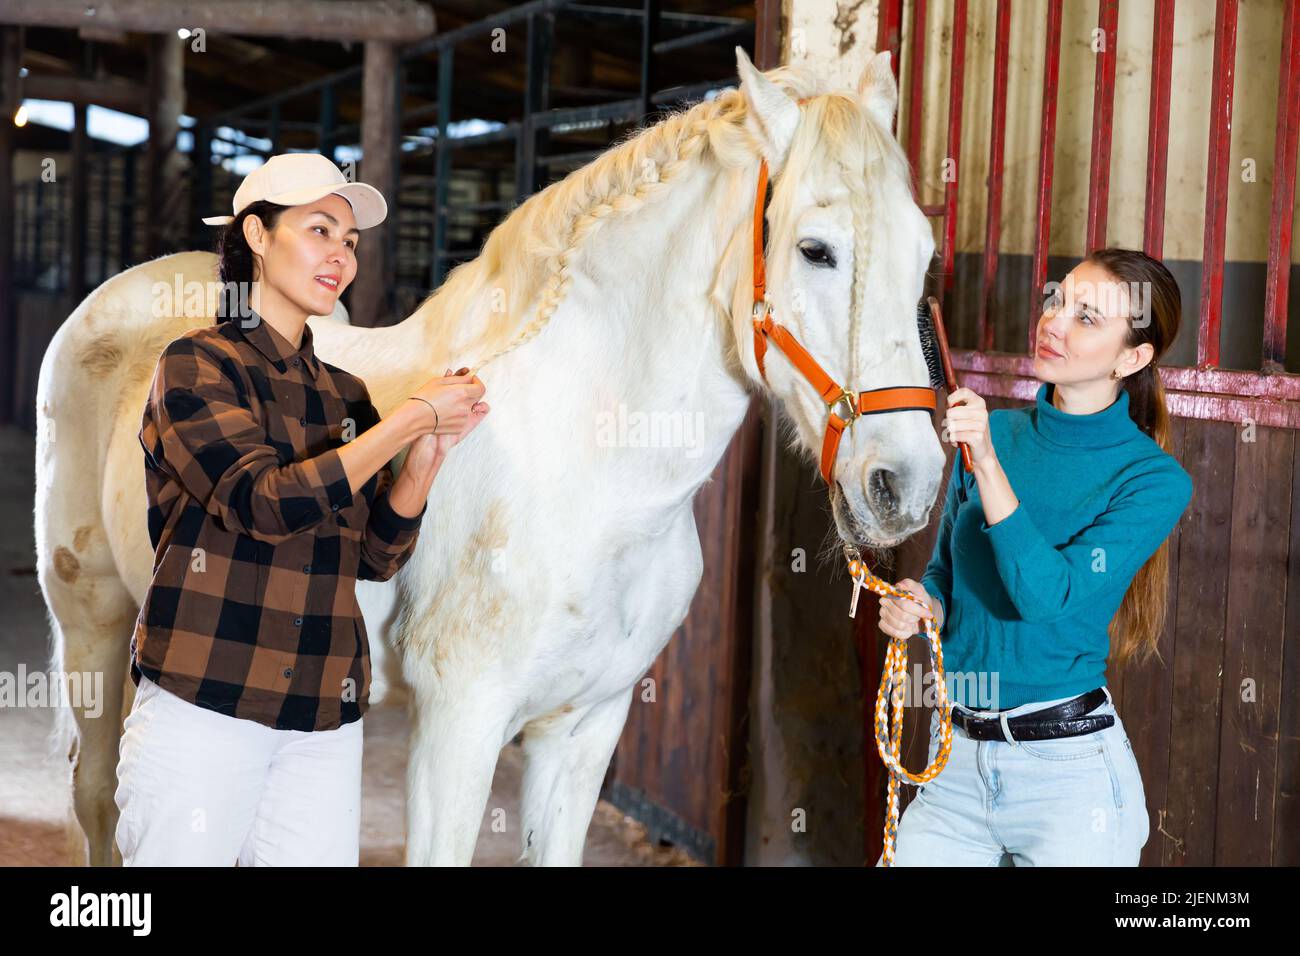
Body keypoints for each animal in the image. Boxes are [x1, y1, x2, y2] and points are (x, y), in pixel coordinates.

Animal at [35, 48, 943, 866]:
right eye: (815, 249)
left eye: (927, 252)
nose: (905, 484)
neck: (591, 484)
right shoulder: (459, 728)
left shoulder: (582, 730)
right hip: (94, 625)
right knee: (98, 798)